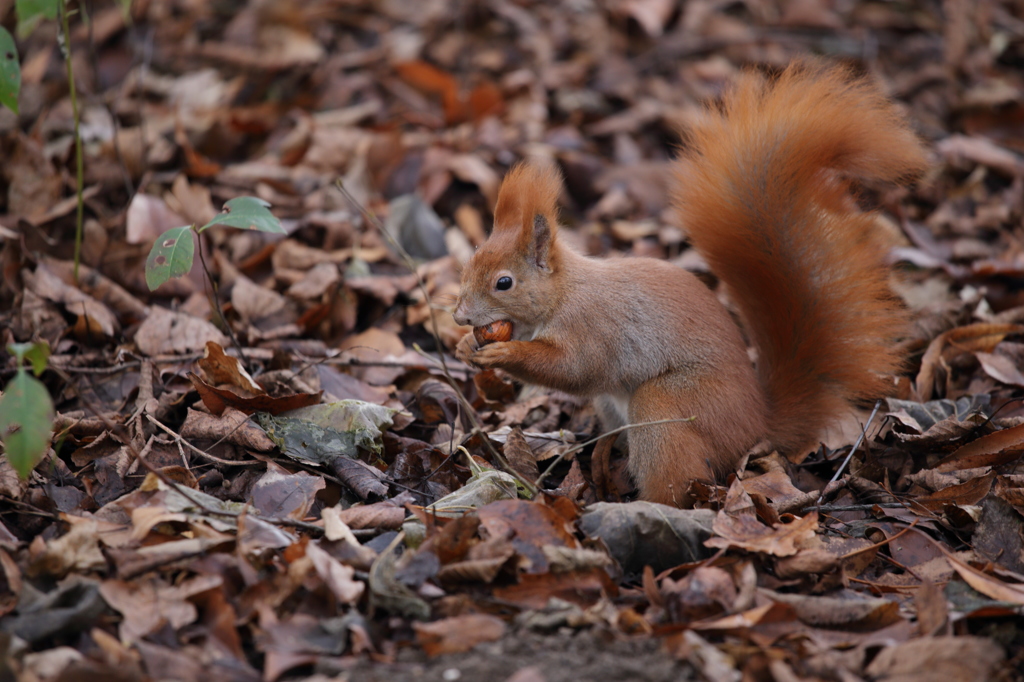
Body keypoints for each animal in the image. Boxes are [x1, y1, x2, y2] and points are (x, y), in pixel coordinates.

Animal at [452, 61, 933, 503]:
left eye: (504, 283)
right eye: (468, 264)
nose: (458, 316)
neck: (564, 294)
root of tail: (756, 423)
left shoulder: (593, 326)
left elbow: (573, 368)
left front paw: (503, 353)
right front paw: (462, 348)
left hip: (667, 405)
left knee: (675, 481)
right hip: (614, 403)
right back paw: (603, 457)